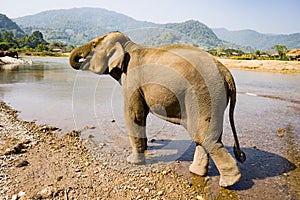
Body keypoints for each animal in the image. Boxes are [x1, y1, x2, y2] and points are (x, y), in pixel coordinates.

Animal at [69, 31, 246, 188]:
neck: (129, 46)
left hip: (204, 95)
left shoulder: (132, 80)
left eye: (94, 45)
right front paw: (146, 148)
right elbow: (142, 115)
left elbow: (133, 115)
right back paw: (196, 172)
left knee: (204, 136)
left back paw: (229, 182)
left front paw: (132, 161)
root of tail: (227, 73)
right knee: (204, 136)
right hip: (212, 99)